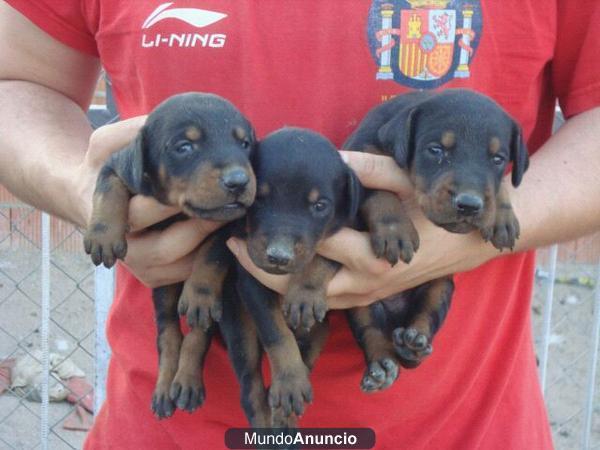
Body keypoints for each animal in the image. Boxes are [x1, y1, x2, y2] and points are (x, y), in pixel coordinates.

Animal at [82, 91, 255, 418]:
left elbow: (211, 254)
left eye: (245, 144)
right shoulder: (116, 166)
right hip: (163, 293)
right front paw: (103, 234)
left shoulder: (228, 224)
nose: (239, 181)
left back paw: (186, 383)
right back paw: (164, 388)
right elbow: (108, 189)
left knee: (198, 334)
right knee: (168, 335)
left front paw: (199, 291)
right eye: (184, 147)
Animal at [342, 88, 528, 390]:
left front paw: (502, 215)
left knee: (424, 318)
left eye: (498, 158)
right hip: (360, 304)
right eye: (436, 150)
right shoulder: (360, 154)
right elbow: (378, 191)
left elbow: (496, 184)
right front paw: (395, 231)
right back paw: (381, 366)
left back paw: (413, 345)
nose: (469, 205)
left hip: (439, 288)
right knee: (371, 330)